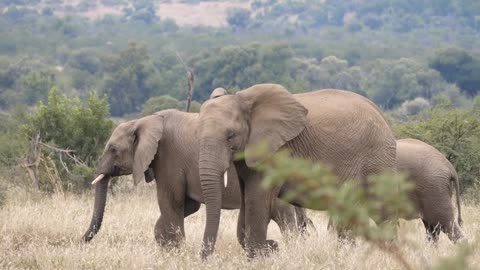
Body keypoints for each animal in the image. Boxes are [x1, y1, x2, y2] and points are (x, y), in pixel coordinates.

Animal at [195, 83, 398, 258]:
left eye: (230, 136)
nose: (206, 258)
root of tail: (382, 116)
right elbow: (247, 203)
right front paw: (267, 250)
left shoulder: (276, 151)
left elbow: (257, 200)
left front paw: (260, 257)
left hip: (377, 159)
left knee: (381, 210)